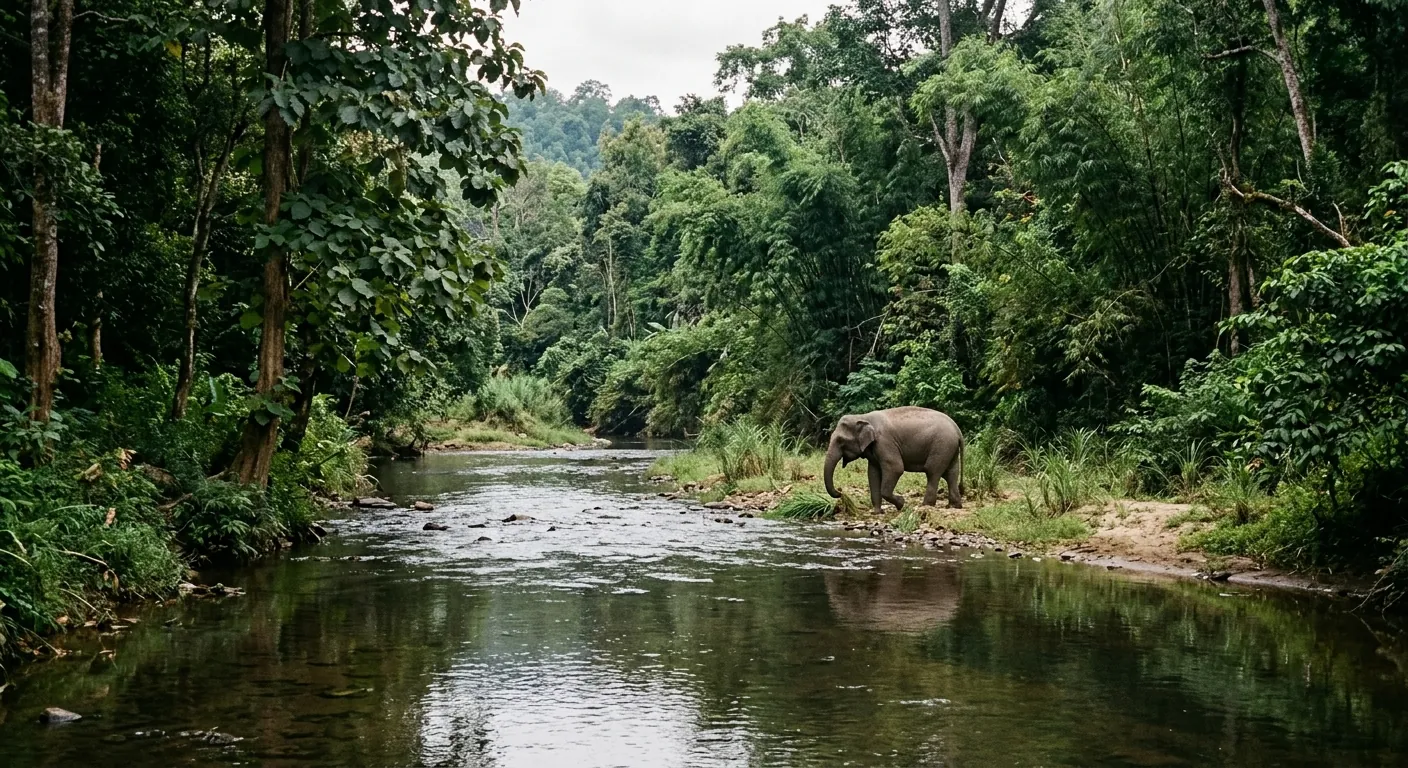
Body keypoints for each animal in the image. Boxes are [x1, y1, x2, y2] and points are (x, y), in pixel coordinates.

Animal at [824, 406, 964, 514]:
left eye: (840, 441)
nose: (840, 492)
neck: (864, 417)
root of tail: (957, 429)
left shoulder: (884, 442)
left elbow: (895, 468)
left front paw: (901, 503)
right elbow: (873, 474)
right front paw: (877, 512)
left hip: (942, 446)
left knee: (932, 471)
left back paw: (926, 505)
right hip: (950, 448)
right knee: (951, 473)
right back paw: (954, 506)